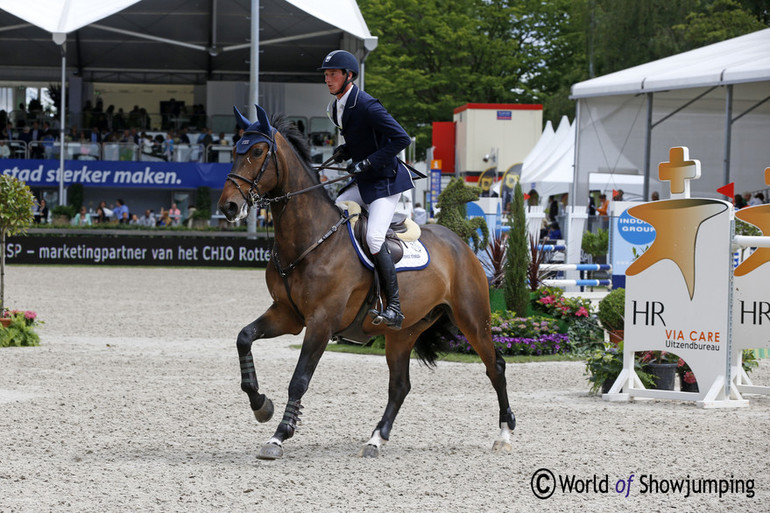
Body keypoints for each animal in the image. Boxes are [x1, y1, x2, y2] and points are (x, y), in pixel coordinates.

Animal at [218, 105, 516, 460]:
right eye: (235, 152)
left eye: (257, 152)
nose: (228, 206)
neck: (311, 238)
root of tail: (460, 243)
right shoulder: (287, 315)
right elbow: (244, 338)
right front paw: (261, 405)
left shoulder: (321, 322)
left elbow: (299, 379)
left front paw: (279, 436)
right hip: (402, 332)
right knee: (400, 385)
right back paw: (376, 438)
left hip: (472, 318)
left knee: (495, 366)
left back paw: (504, 433)